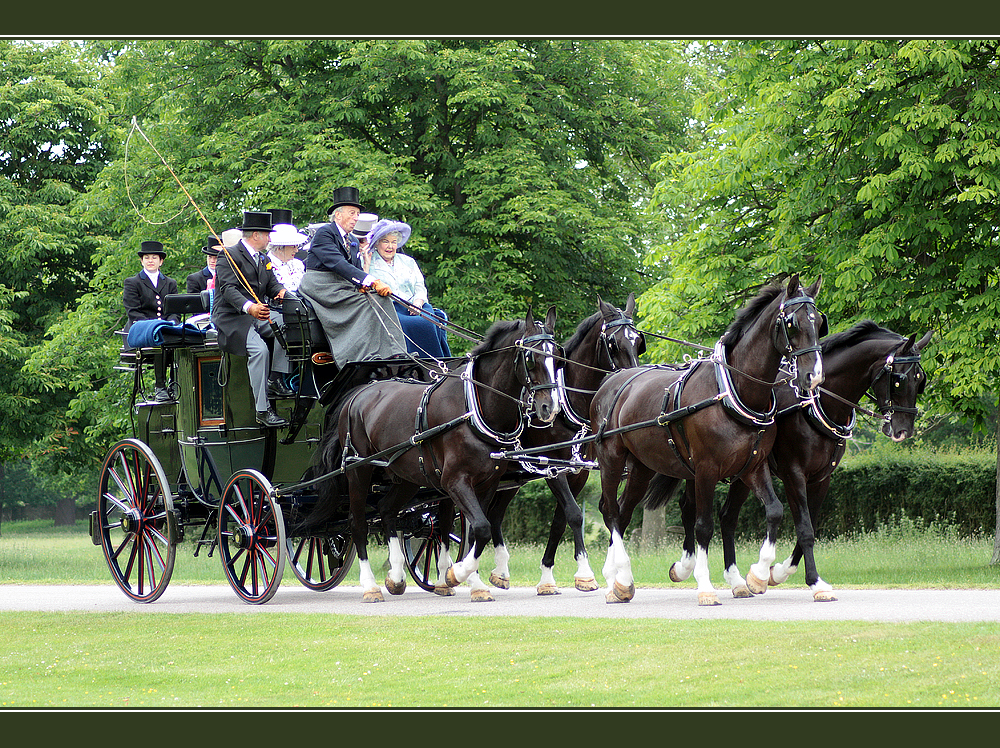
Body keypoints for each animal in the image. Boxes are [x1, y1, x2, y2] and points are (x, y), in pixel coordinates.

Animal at [308, 306, 564, 604]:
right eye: (531, 357)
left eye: (558, 358)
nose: (549, 408)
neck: (473, 408)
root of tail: (357, 393)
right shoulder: (454, 482)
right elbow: (480, 527)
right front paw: (457, 574)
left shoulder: (487, 483)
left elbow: (479, 531)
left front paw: (468, 581)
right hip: (358, 471)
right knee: (356, 524)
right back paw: (370, 586)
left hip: (406, 477)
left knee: (386, 510)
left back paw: (396, 577)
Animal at [486, 296, 644, 592]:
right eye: (613, 343)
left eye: (638, 340)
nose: (631, 381)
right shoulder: (553, 468)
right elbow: (574, 514)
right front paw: (585, 573)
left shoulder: (577, 471)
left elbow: (560, 520)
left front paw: (547, 577)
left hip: (509, 478)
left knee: (493, 515)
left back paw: (498, 571)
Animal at [588, 278, 824, 604]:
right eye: (792, 323)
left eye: (819, 323)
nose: (814, 376)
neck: (733, 390)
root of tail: (612, 380)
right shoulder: (705, 469)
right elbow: (703, 526)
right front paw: (705, 586)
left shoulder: (753, 466)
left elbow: (775, 510)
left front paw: (758, 574)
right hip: (611, 458)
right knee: (610, 510)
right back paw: (620, 575)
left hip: (642, 467)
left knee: (622, 512)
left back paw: (619, 582)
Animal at [660, 322, 932, 600]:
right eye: (899, 379)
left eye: (921, 380)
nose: (903, 430)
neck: (815, 403)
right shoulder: (794, 473)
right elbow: (804, 528)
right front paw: (808, 581)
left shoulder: (821, 479)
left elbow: (810, 526)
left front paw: (777, 573)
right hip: (708, 470)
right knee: (690, 509)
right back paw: (685, 567)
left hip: (742, 474)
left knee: (727, 517)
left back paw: (733, 580)